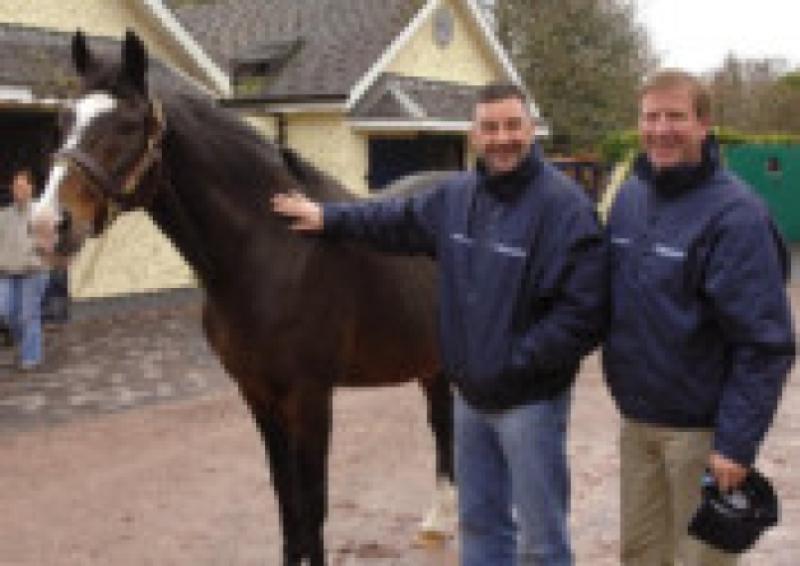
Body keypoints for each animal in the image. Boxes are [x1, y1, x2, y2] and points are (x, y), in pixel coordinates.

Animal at [31, 30, 454, 566]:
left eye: (128, 125)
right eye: (64, 120)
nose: (47, 226)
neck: (272, 247)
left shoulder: (310, 396)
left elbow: (313, 505)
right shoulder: (257, 394)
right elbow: (287, 503)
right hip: (430, 362)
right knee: (442, 423)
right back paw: (438, 522)